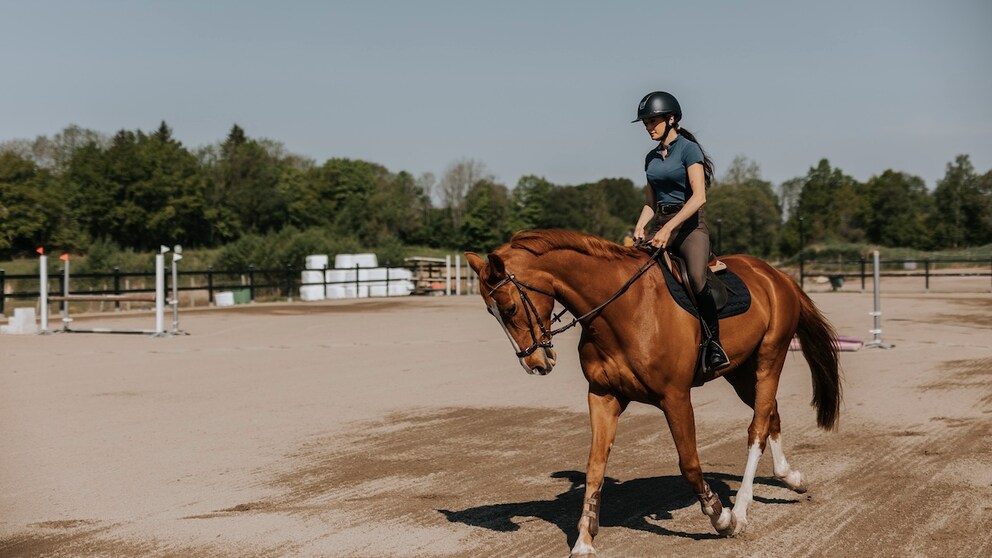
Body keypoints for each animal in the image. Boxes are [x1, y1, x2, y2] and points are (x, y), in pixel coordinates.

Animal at [464, 230, 836, 556]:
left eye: (509, 308)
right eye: (491, 313)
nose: (535, 363)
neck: (621, 310)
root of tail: (776, 275)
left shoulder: (675, 397)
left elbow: (689, 463)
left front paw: (722, 518)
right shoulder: (603, 396)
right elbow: (595, 466)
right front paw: (584, 540)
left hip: (770, 359)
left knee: (757, 427)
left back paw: (742, 509)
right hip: (742, 373)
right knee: (771, 413)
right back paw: (791, 478)